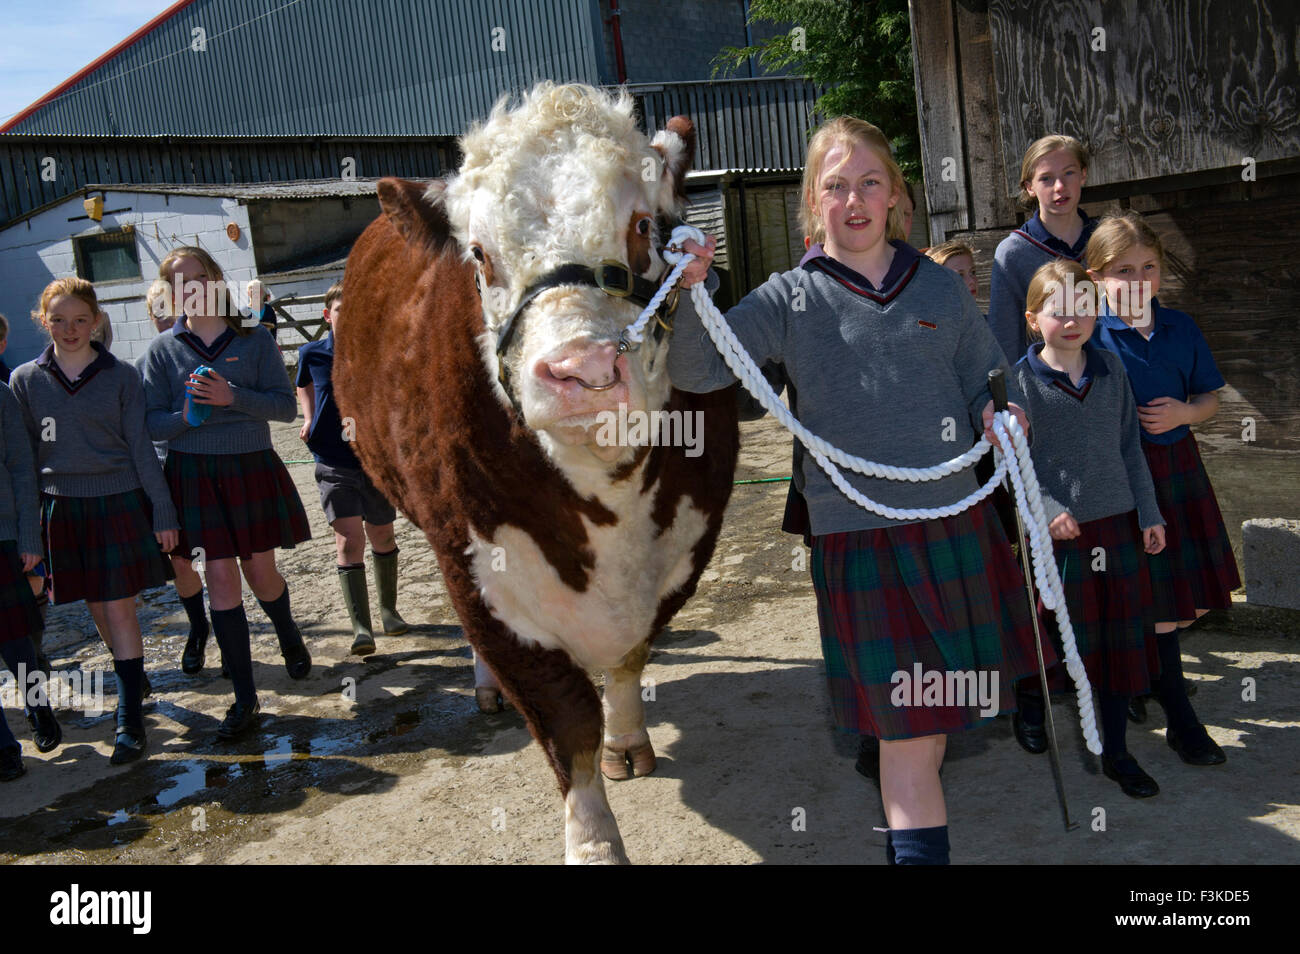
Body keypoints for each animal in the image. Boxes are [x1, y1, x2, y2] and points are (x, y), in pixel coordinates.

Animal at [332, 82, 743, 863]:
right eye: (479, 255)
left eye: (643, 225)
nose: (581, 370)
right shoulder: (480, 573)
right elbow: (565, 723)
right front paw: (595, 844)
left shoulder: (682, 543)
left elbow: (628, 658)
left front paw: (626, 740)